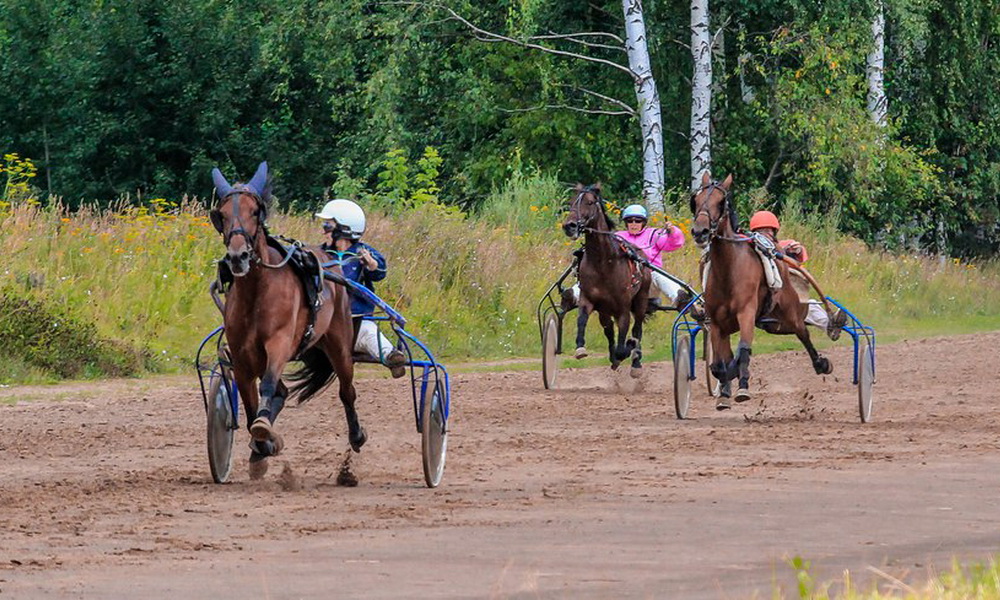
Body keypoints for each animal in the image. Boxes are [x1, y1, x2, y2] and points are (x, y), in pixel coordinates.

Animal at [209, 162, 366, 480]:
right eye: (222, 213)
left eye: (254, 212)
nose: (238, 256)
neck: (257, 292)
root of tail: (330, 262)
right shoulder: (242, 357)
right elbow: (251, 404)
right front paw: (263, 445)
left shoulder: (279, 343)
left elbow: (267, 387)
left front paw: (263, 432)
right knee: (282, 392)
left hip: (339, 343)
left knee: (347, 390)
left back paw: (356, 437)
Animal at [560, 183, 652, 376]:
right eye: (571, 202)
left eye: (589, 202)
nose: (569, 226)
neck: (603, 262)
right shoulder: (589, 299)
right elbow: (582, 320)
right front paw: (580, 348)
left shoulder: (623, 307)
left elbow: (624, 342)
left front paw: (627, 349)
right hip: (605, 309)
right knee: (609, 328)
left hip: (641, 299)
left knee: (637, 329)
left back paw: (636, 362)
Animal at [692, 171, 832, 410]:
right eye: (697, 200)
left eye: (720, 202)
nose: (700, 231)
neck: (728, 270)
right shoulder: (716, 322)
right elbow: (719, 363)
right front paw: (724, 388)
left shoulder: (746, 313)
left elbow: (744, 351)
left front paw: (742, 386)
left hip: (788, 315)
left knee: (803, 332)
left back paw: (821, 363)